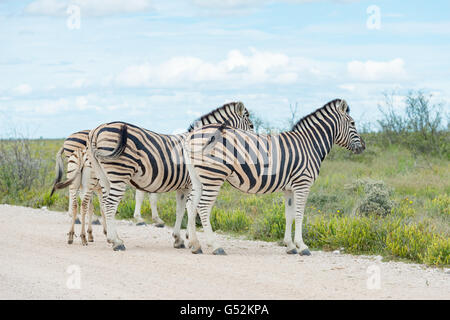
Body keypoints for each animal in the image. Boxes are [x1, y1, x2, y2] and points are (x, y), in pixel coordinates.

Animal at [88, 101, 255, 251]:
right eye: (251, 125)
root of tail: (96, 131)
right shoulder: (192, 184)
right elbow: (191, 208)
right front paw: (189, 238)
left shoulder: (184, 187)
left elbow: (180, 210)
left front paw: (179, 239)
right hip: (119, 173)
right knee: (110, 204)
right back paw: (116, 242)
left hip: (105, 177)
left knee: (105, 204)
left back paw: (112, 238)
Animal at [184, 99, 366, 256]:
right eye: (352, 123)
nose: (363, 147)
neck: (309, 144)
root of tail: (192, 136)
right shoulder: (303, 183)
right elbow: (299, 214)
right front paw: (302, 246)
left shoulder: (289, 188)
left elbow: (289, 214)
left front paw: (290, 246)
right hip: (214, 176)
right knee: (203, 207)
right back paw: (216, 246)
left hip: (198, 179)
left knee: (192, 205)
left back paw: (195, 245)